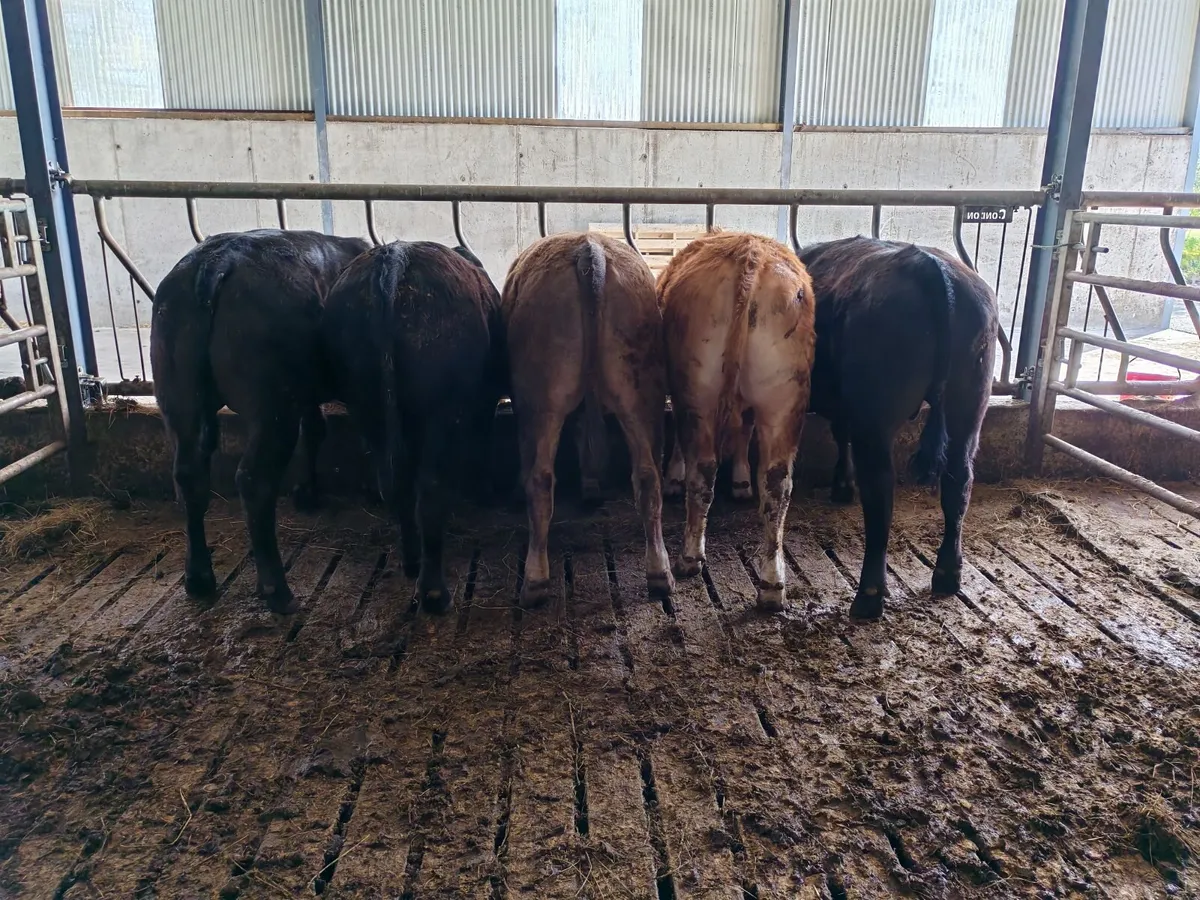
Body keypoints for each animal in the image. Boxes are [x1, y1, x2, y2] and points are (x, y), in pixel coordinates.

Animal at [152, 229, 369, 613]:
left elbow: (315, 431)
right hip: (272, 409)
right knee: (254, 480)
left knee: (189, 477)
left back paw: (199, 577)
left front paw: (307, 493)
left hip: (178, 398)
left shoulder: (305, 394)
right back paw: (276, 589)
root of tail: (218, 258)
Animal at [322, 241, 504, 613]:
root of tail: (394, 259)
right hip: (439, 412)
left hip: (366, 405)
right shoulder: (483, 401)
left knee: (394, 484)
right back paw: (433, 591)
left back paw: (411, 561)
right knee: (429, 490)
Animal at [502, 232, 673, 608]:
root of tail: (588, 248)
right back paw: (659, 572)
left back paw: (534, 580)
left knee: (541, 479)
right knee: (648, 477)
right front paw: (590, 484)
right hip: (641, 390)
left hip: (543, 398)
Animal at [658, 232, 816, 612]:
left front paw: (673, 478)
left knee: (703, 471)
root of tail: (751, 253)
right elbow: (745, 429)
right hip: (785, 396)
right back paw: (772, 585)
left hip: (696, 390)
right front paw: (742, 481)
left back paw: (689, 557)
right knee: (777, 483)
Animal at [797, 236, 997, 620]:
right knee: (959, 480)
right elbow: (840, 432)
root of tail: (927, 264)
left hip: (876, 415)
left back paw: (869, 595)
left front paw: (842, 486)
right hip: (969, 403)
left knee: (880, 491)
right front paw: (841, 486)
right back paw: (948, 573)